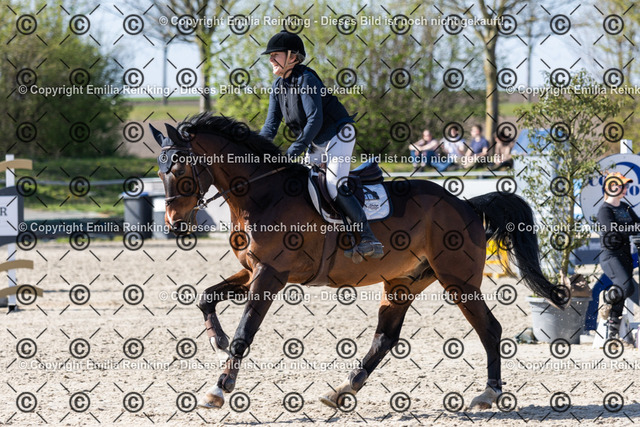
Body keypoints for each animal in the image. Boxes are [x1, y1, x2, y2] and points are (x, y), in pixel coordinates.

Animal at [150, 112, 566, 411]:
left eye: (179, 167)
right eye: (159, 169)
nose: (173, 223)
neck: (260, 194)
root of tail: (465, 203)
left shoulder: (271, 275)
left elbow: (244, 333)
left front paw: (219, 389)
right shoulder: (252, 270)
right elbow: (206, 297)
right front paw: (216, 340)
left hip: (458, 281)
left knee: (490, 329)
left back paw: (488, 394)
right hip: (403, 282)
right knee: (386, 337)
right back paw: (342, 390)